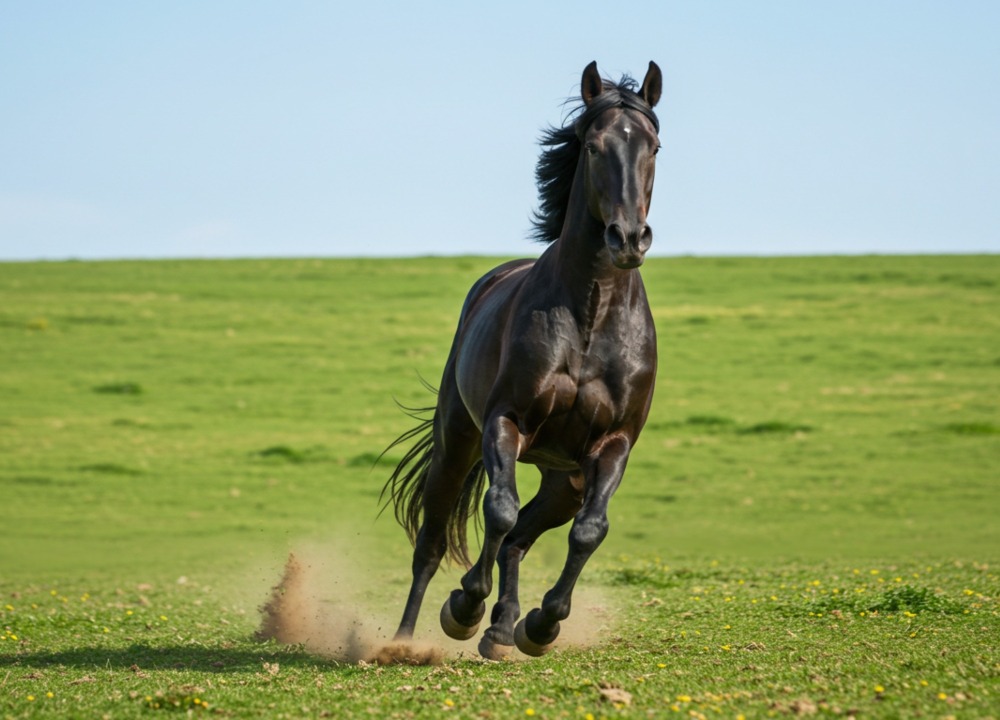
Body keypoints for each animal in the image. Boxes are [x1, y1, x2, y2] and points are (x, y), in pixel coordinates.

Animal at [381, 60, 662, 660]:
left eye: (654, 146)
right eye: (594, 146)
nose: (628, 238)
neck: (590, 315)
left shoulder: (613, 445)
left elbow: (588, 530)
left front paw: (541, 624)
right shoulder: (505, 421)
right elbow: (499, 510)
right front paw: (464, 606)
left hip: (563, 480)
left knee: (521, 539)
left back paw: (505, 626)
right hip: (458, 442)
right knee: (436, 541)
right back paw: (408, 638)